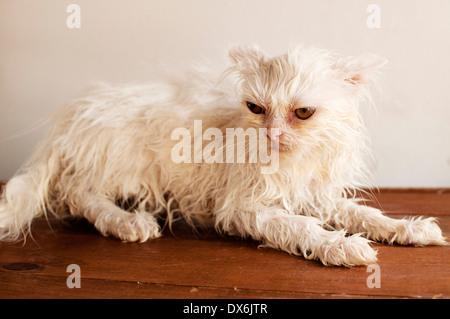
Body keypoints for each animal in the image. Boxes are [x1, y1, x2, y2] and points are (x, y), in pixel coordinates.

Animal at [0, 43, 444, 268]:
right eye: (256, 108)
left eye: (302, 113)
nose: (271, 134)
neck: (291, 164)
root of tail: (72, 114)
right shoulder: (242, 209)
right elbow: (299, 227)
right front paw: (342, 247)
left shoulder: (316, 196)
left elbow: (366, 215)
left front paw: (410, 230)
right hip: (126, 164)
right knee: (77, 194)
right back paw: (127, 222)